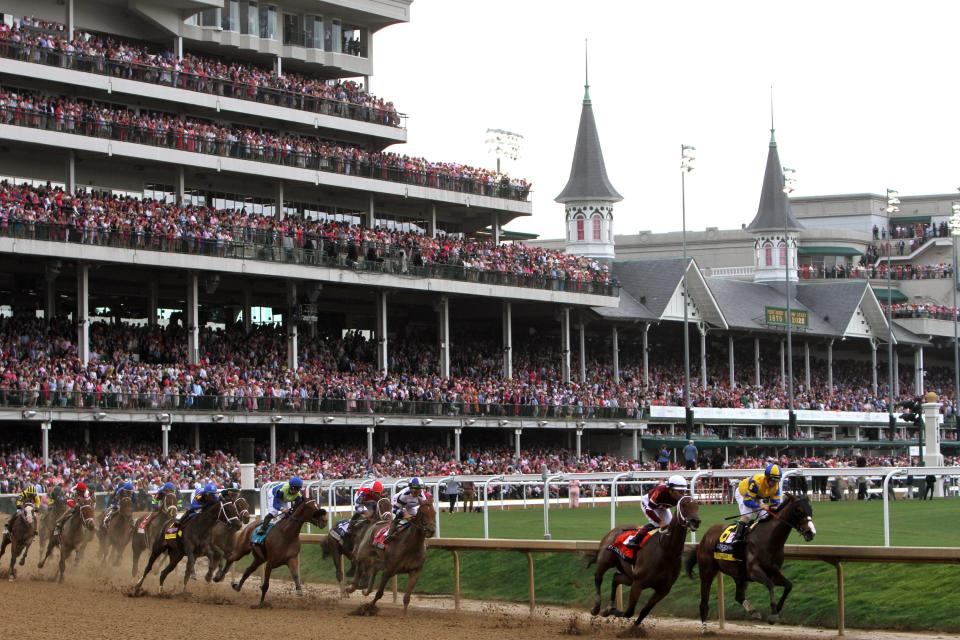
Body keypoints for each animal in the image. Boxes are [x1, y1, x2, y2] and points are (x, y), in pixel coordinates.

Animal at [588, 492, 700, 632]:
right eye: (684, 505)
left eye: (697, 505)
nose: (696, 521)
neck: (666, 550)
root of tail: (614, 530)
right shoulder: (638, 583)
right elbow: (629, 612)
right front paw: (607, 611)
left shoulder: (663, 589)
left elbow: (644, 611)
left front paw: (632, 629)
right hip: (605, 560)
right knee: (598, 577)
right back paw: (596, 607)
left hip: (629, 575)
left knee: (616, 578)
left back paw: (609, 605)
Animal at [688, 492, 812, 628]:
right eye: (798, 510)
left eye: (810, 509)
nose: (810, 532)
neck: (768, 539)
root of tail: (705, 537)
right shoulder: (754, 571)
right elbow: (770, 584)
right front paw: (773, 614)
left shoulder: (773, 571)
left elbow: (789, 585)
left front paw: (778, 609)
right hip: (707, 572)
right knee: (704, 601)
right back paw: (705, 627)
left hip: (739, 575)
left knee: (738, 596)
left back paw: (753, 611)